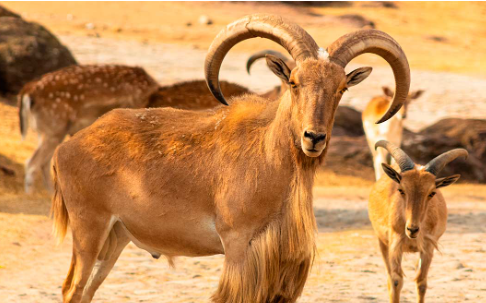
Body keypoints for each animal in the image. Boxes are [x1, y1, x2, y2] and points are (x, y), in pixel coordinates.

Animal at [52, 14, 410, 303]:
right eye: (294, 82)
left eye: (341, 89)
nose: (314, 138)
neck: (268, 155)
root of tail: (65, 150)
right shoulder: (238, 246)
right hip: (89, 229)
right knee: (72, 288)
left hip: (115, 238)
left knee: (87, 290)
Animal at [368, 141, 468, 303]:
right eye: (401, 190)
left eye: (432, 193)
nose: (412, 230)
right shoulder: (395, 244)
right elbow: (396, 281)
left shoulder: (428, 246)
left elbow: (421, 282)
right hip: (382, 242)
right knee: (390, 278)